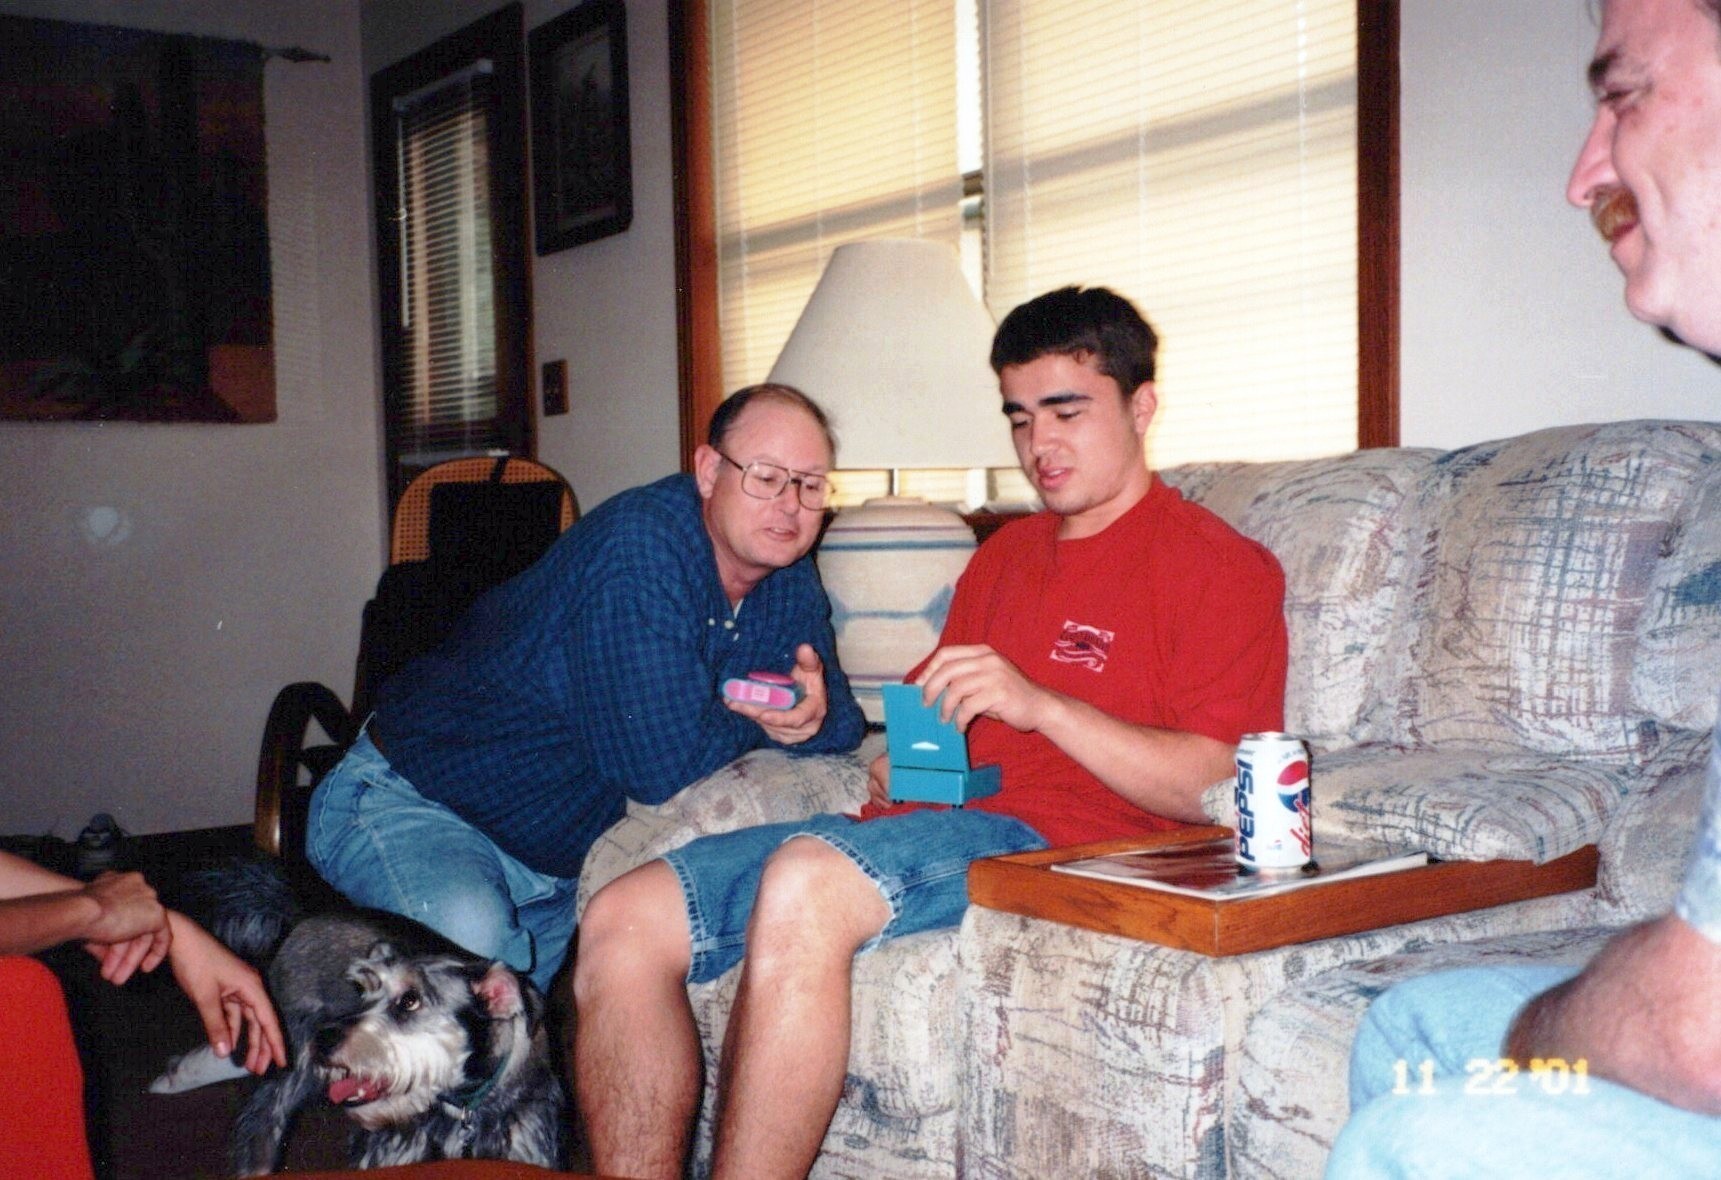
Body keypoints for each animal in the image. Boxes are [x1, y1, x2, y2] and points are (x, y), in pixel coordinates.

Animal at [151, 865, 564, 1174]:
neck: (464, 1109)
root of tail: (302, 916)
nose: (321, 1039)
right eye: (364, 991)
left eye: (410, 1000)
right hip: (287, 1066)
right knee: (258, 1128)